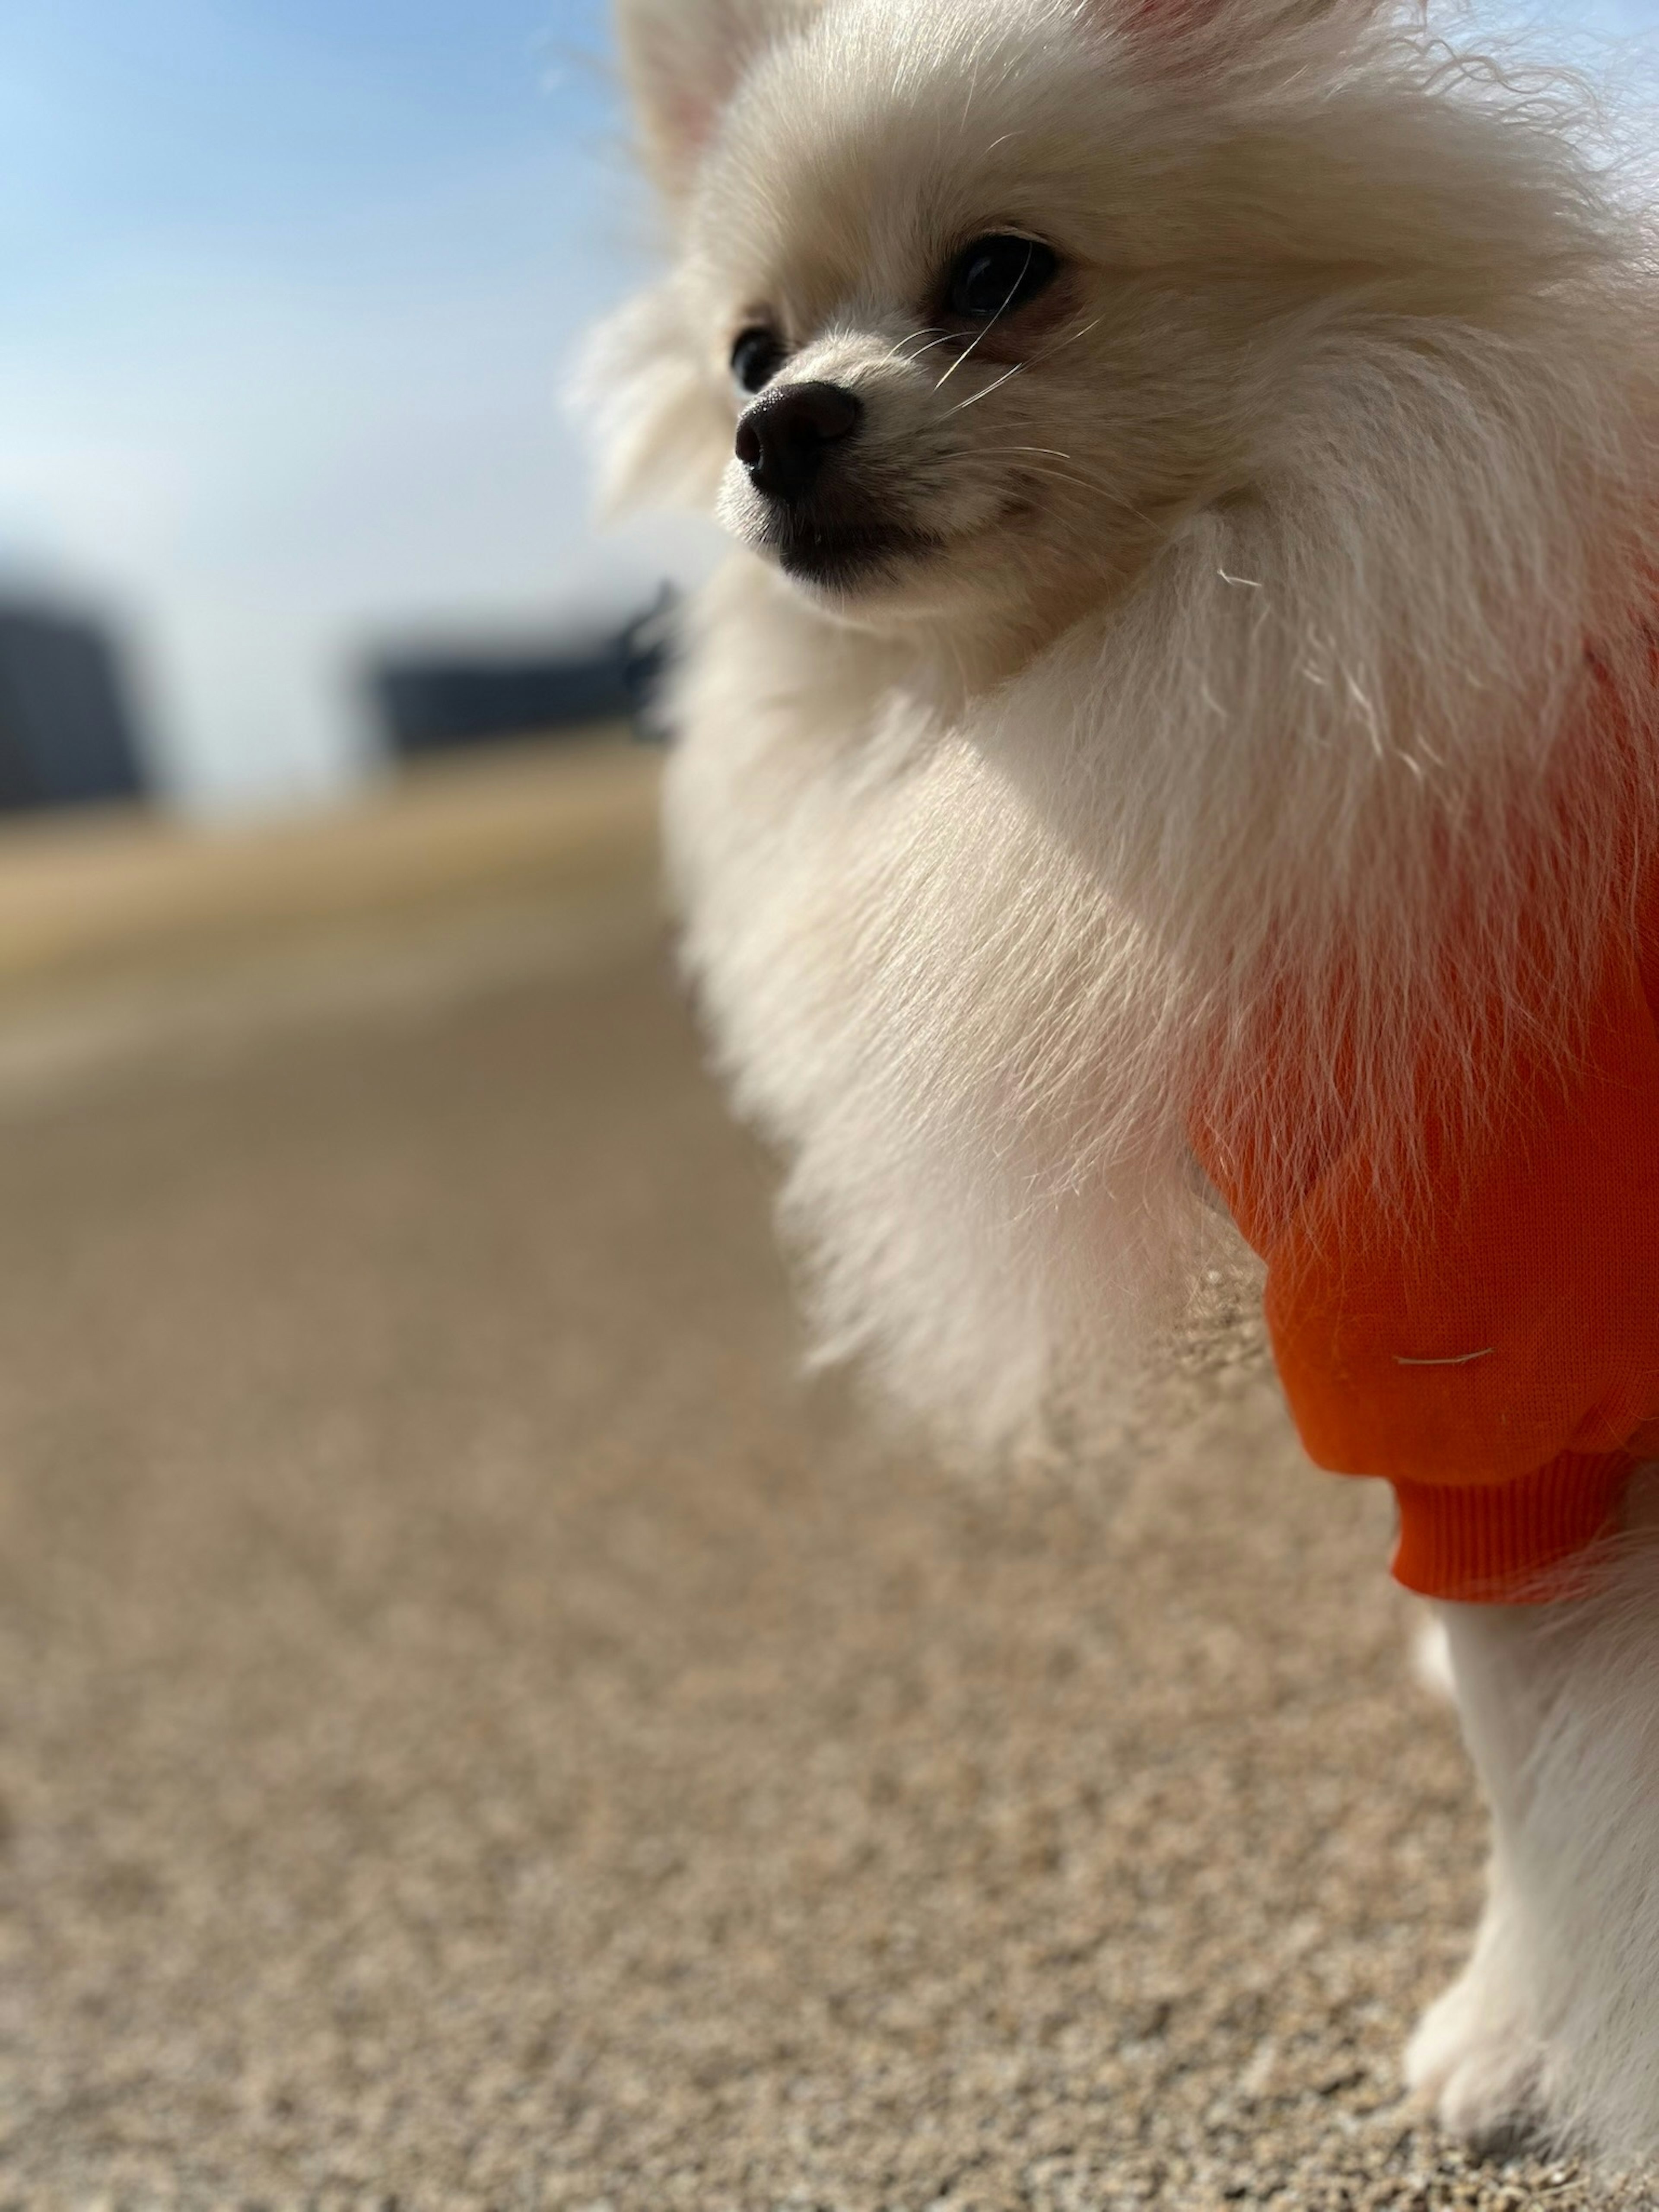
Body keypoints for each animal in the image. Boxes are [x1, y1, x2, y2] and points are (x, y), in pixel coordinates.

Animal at [588, 0, 1659, 2168]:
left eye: (999, 274)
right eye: (748, 348)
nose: (778, 428)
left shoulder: (1463, 1350)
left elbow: (1537, 1759)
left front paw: (1511, 2035)